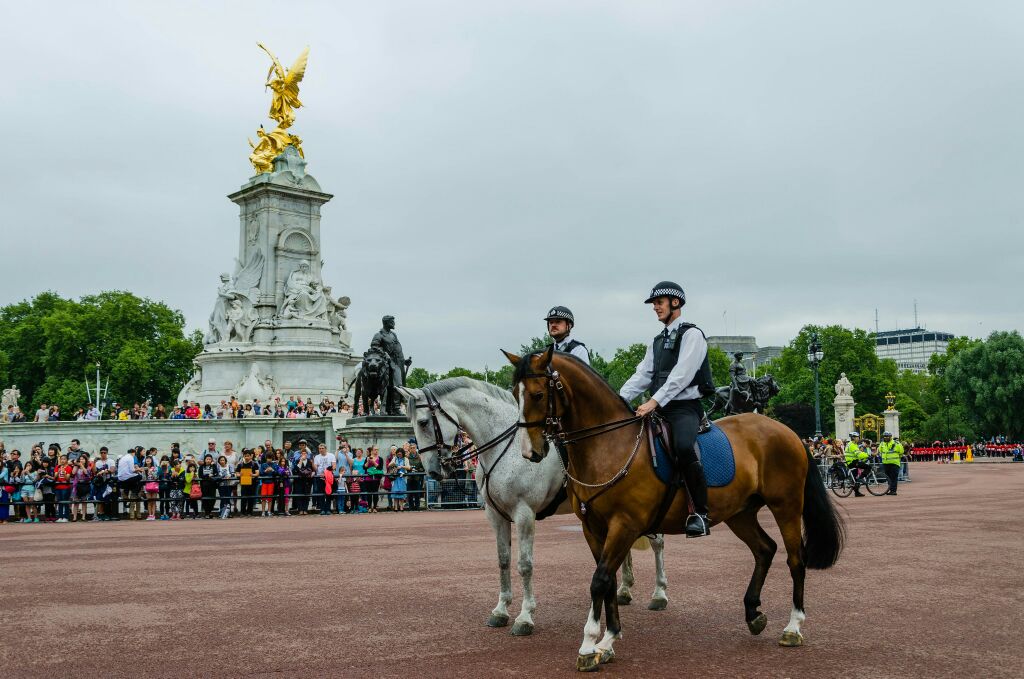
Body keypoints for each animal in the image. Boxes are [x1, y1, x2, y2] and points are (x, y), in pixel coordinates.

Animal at [395, 376, 667, 639]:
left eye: (423, 422)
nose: (432, 471)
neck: (507, 448)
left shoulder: (524, 513)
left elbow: (524, 565)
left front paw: (525, 617)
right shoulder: (495, 515)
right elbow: (503, 560)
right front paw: (501, 610)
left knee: (657, 544)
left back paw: (659, 594)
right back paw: (624, 590)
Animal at [505, 348, 847, 671]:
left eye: (537, 394)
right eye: (514, 393)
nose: (530, 451)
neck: (609, 445)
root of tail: (786, 431)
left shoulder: (624, 525)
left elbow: (600, 580)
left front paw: (589, 645)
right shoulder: (594, 528)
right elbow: (609, 581)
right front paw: (608, 641)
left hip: (786, 506)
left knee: (795, 559)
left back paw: (793, 626)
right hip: (740, 514)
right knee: (765, 549)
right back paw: (753, 612)